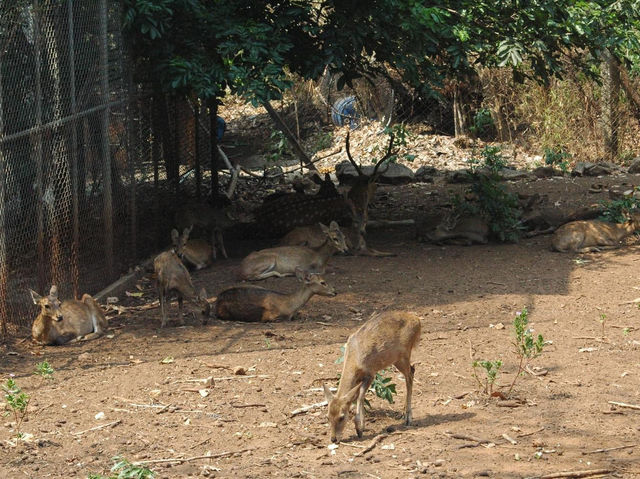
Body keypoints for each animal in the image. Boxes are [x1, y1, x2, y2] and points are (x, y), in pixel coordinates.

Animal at [322, 312, 422, 442]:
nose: (333, 439)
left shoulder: (370, 373)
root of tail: (418, 321)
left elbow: (360, 396)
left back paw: (408, 418)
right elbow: (358, 396)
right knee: (412, 370)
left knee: (410, 374)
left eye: (342, 417)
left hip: (402, 355)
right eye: (327, 417)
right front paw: (362, 426)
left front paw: (359, 428)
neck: (355, 359)